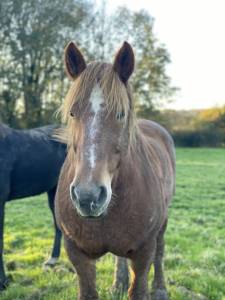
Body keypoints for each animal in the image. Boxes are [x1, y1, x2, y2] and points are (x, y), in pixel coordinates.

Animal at [55, 40, 176, 300]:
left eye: (121, 113)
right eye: (72, 112)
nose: (88, 196)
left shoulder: (143, 253)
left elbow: (140, 286)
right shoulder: (77, 254)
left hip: (163, 223)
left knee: (160, 251)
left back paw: (160, 288)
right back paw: (118, 282)